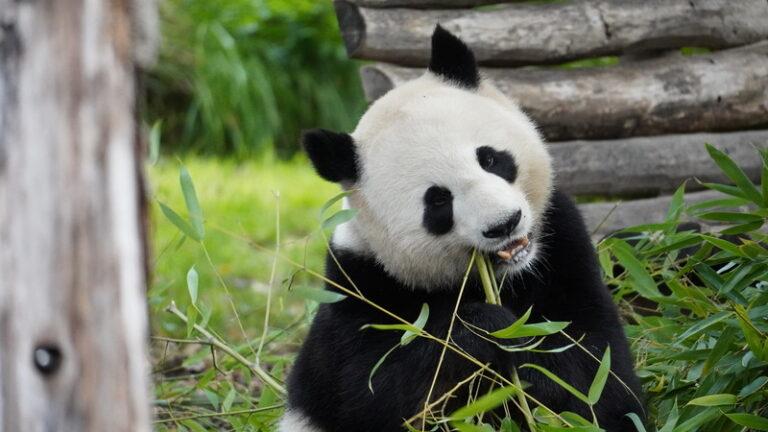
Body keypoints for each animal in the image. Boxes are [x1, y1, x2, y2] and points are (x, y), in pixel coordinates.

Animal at [281, 26, 644, 432]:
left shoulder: (563, 247)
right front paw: (486, 329)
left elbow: (597, 376)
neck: (503, 277)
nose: (504, 224)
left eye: (490, 158)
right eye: (438, 201)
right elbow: (378, 392)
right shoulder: (359, 287)